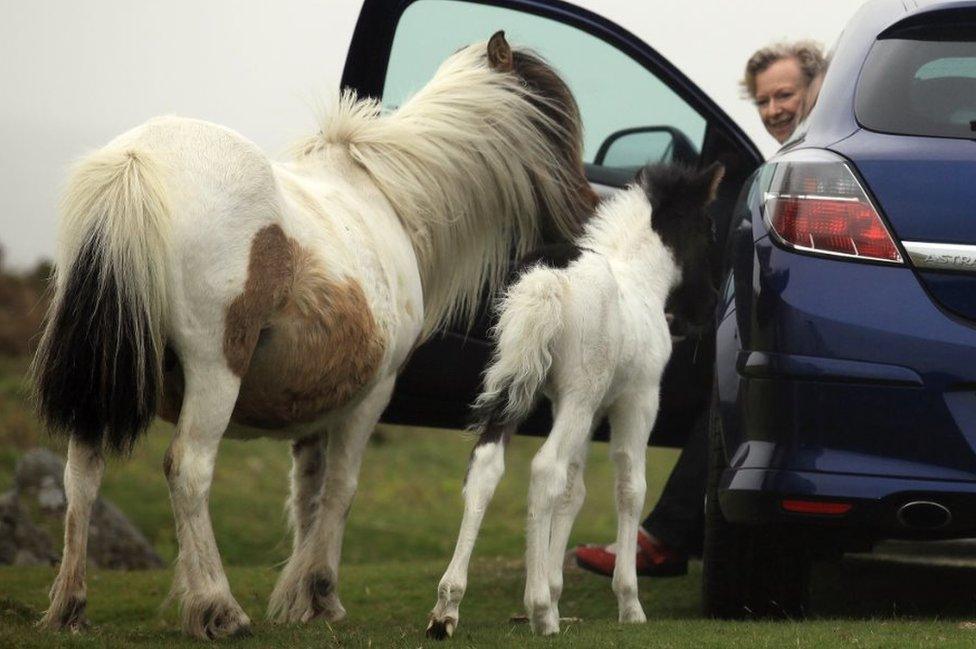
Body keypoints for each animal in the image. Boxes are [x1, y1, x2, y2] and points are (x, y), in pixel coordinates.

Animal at [32, 31, 596, 636]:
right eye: (556, 122)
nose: (590, 211)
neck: (388, 198)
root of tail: (137, 162)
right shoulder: (373, 393)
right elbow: (341, 491)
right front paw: (322, 592)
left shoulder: (312, 409)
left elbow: (307, 493)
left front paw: (303, 598)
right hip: (214, 371)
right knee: (188, 469)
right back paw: (219, 607)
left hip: (98, 377)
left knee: (81, 472)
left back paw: (70, 604)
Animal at [428, 159, 724, 636]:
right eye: (708, 227)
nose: (707, 307)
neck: (639, 279)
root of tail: (547, 279)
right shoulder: (637, 399)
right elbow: (629, 487)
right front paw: (628, 603)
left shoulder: (578, 405)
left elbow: (574, 489)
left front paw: (554, 588)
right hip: (578, 396)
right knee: (544, 469)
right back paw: (539, 613)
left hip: (520, 384)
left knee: (487, 465)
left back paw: (447, 607)